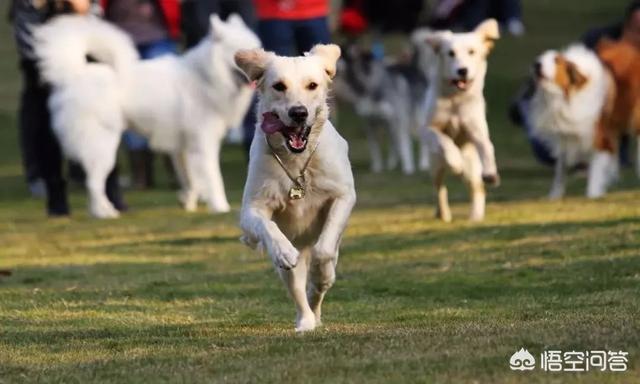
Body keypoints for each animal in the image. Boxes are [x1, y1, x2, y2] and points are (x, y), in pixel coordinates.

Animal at [33, 13, 260, 218]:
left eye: (256, 48)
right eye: (239, 53)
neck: (205, 76)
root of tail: (73, 75)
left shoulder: (183, 149)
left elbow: (191, 180)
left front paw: (188, 202)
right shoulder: (203, 144)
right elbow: (213, 179)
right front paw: (220, 207)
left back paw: (105, 210)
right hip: (103, 146)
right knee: (93, 183)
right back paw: (103, 213)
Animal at [235, 45, 358, 332]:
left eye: (312, 85)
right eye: (279, 86)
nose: (298, 112)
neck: (297, 162)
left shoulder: (344, 195)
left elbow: (323, 251)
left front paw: (319, 275)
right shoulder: (251, 209)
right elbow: (267, 226)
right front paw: (283, 251)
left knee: (319, 282)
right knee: (298, 290)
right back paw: (306, 321)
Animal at [422, 19, 502, 222]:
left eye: (472, 52)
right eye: (450, 53)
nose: (462, 70)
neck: (456, 100)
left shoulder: (476, 131)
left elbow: (487, 146)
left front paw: (491, 173)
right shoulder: (428, 129)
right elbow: (443, 140)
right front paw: (455, 160)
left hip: (473, 169)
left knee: (477, 188)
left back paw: (476, 215)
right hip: (435, 167)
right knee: (440, 189)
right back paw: (443, 213)